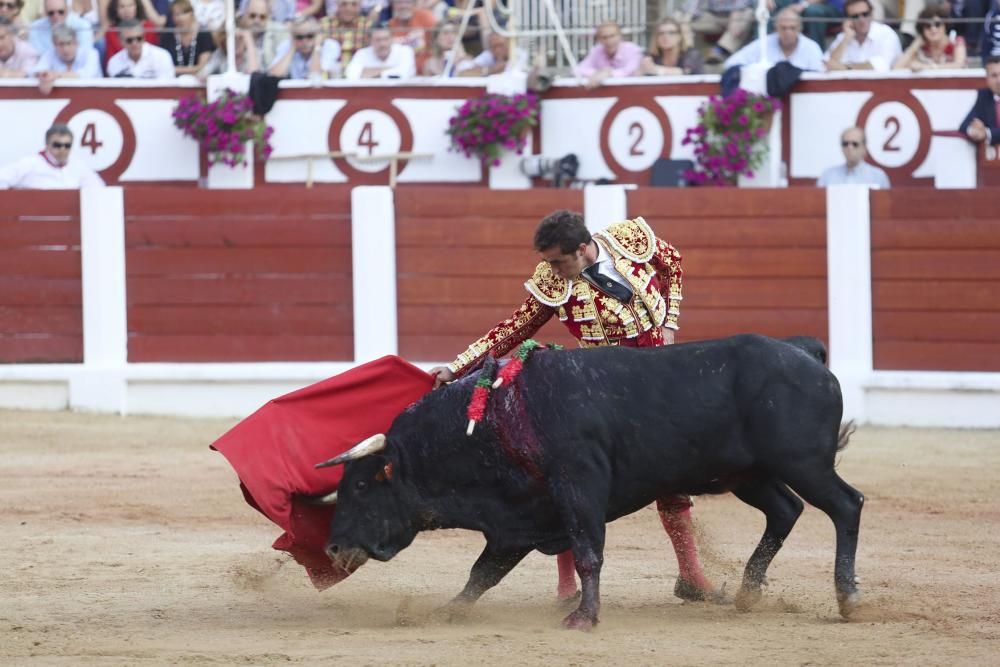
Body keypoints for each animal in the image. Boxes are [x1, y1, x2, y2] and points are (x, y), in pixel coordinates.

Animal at [316, 336, 864, 628]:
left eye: (361, 487)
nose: (334, 546)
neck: (497, 418)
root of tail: (803, 352)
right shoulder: (517, 521)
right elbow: (482, 574)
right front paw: (445, 611)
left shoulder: (578, 487)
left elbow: (587, 553)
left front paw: (584, 617)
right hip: (746, 474)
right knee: (786, 511)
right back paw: (748, 593)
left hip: (803, 464)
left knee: (846, 505)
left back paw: (848, 599)